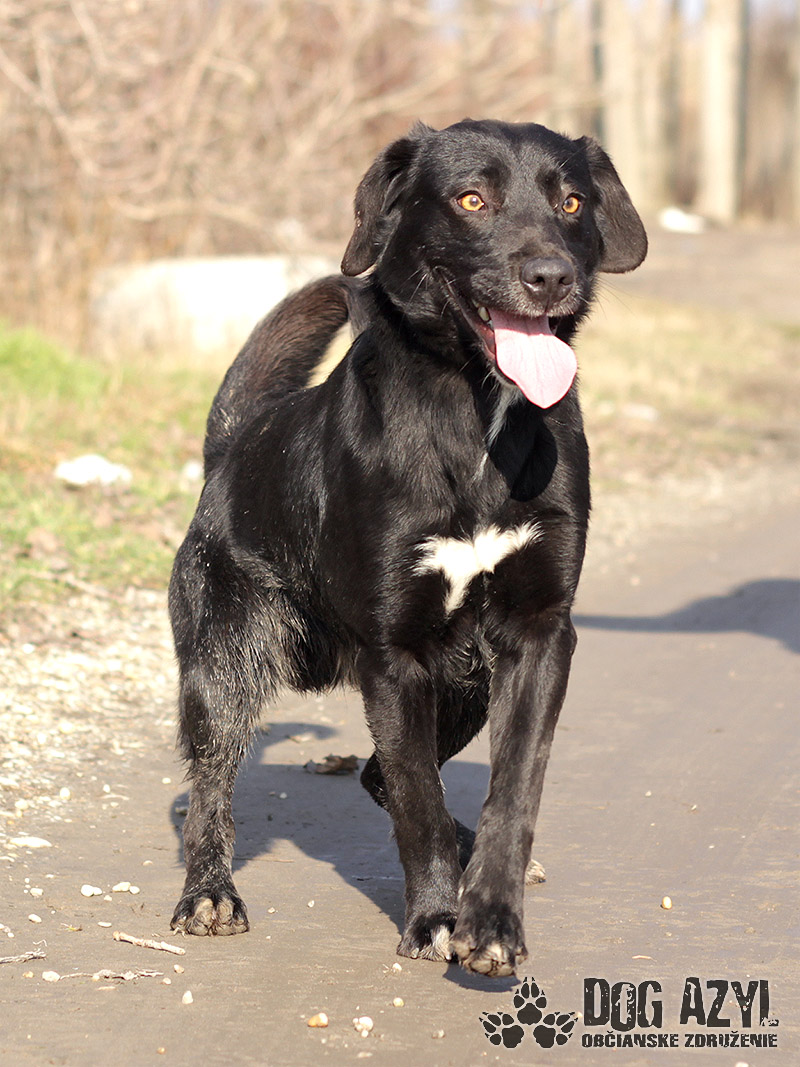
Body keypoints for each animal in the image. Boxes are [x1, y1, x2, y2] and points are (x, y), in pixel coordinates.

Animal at [169, 119, 646, 977]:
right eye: (471, 199)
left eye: (571, 202)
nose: (550, 276)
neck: (477, 414)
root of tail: (231, 443)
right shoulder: (396, 654)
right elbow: (420, 798)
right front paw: (433, 918)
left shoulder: (538, 637)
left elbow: (512, 786)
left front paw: (489, 916)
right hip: (227, 664)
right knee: (213, 783)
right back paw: (210, 893)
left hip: (468, 682)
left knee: (374, 771)